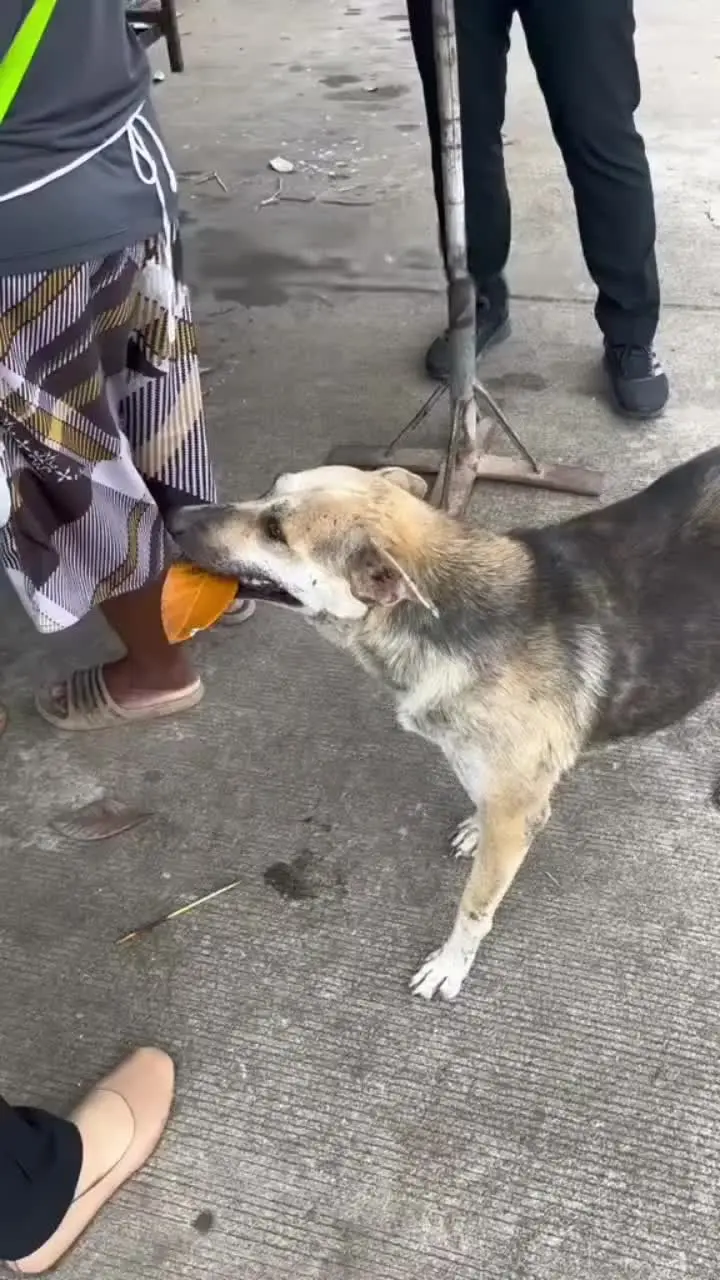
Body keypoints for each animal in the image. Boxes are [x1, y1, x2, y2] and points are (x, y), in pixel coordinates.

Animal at [165, 450, 717, 998]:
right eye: (269, 489)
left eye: (275, 531)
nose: (174, 516)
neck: (446, 617)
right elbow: (481, 801)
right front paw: (474, 825)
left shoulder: (515, 816)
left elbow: (474, 907)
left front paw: (451, 965)